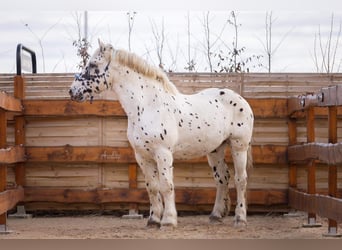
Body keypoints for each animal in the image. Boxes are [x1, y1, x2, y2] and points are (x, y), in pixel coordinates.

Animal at [69, 39, 254, 229]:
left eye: (93, 64)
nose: (72, 91)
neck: (148, 105)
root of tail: (241, 100)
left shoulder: (163, 153)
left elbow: (166, 185)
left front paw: (168, 220)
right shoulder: (142, 156)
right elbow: (152, 187)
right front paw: (153, 220)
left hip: (239, 146)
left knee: (241, 180)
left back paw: (240, 218)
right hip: (215, 149)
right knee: (222, 178)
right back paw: (216, 215)